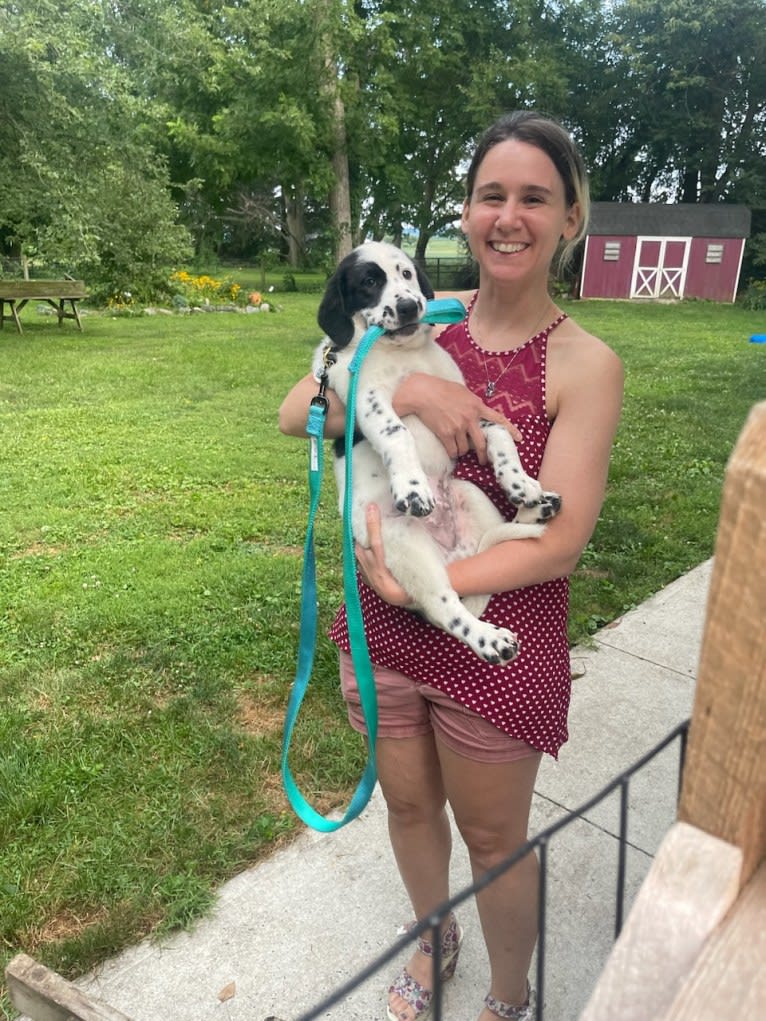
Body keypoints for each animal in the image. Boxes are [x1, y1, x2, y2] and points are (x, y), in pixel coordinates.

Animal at [314, 241, 559, 665]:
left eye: (407, 274)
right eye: (368, 283)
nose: (410, 306)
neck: (401, 355)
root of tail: (453, 555)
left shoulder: (465, 409)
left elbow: (498, 434)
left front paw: (519, 482)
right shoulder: (367, 398)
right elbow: (397, 432)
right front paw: (412, 489)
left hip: (469, 495)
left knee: (495, 539)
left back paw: (536, 506)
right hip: (405, 545)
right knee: (445, 607)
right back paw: (488, 639)